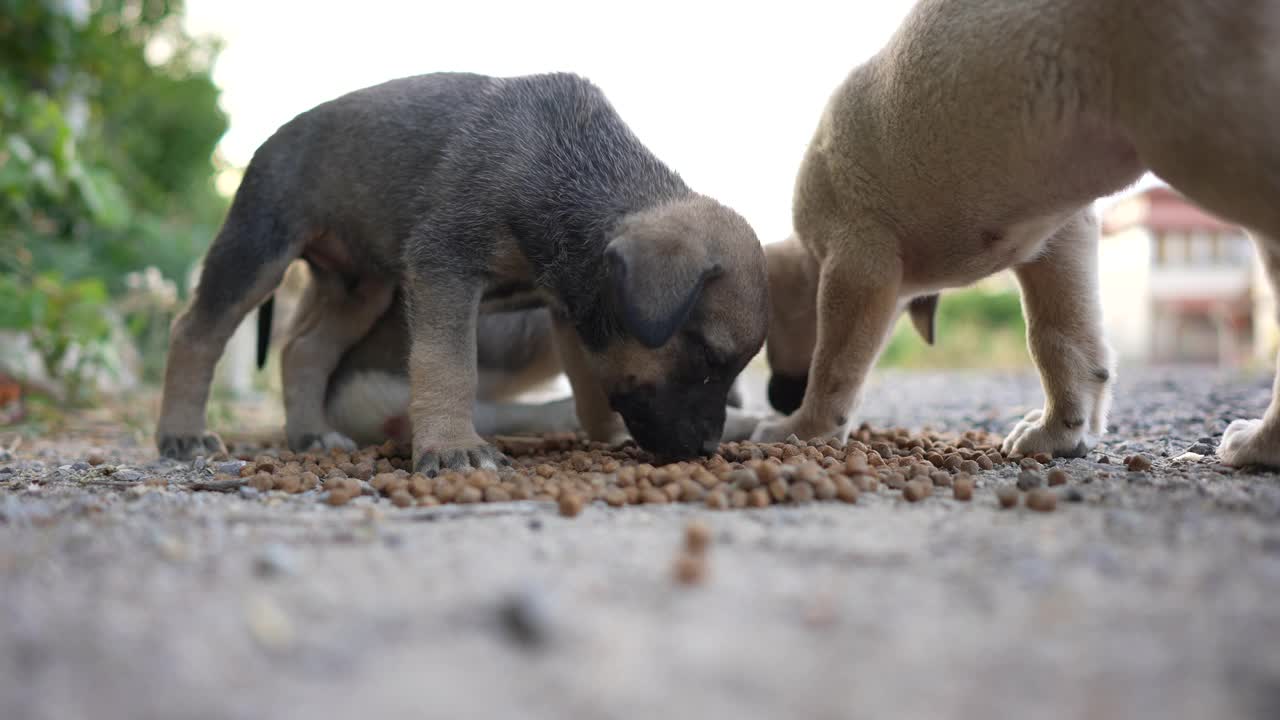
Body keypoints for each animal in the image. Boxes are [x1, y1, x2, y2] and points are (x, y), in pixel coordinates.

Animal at [154, 70, 762, 468]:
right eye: (707, 357)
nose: (708, 449)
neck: (566, 167)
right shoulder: (444, 268)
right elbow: (448, 365)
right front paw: (452, 447)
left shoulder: (571, 306)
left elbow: (590, 382)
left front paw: (607, 434)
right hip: (256, 251)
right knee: (195, 334)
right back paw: (182, 436)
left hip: (361, 287)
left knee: (305, 350)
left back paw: (311, 436)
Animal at [752, 0, 1280, 466]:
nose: (778, 397)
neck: (812, 259)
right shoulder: (1059, 234)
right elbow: (1062, 339)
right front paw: (1062, 431)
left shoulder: (856, 255)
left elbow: (834, 362)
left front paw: (803, 428)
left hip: (1205, 126)